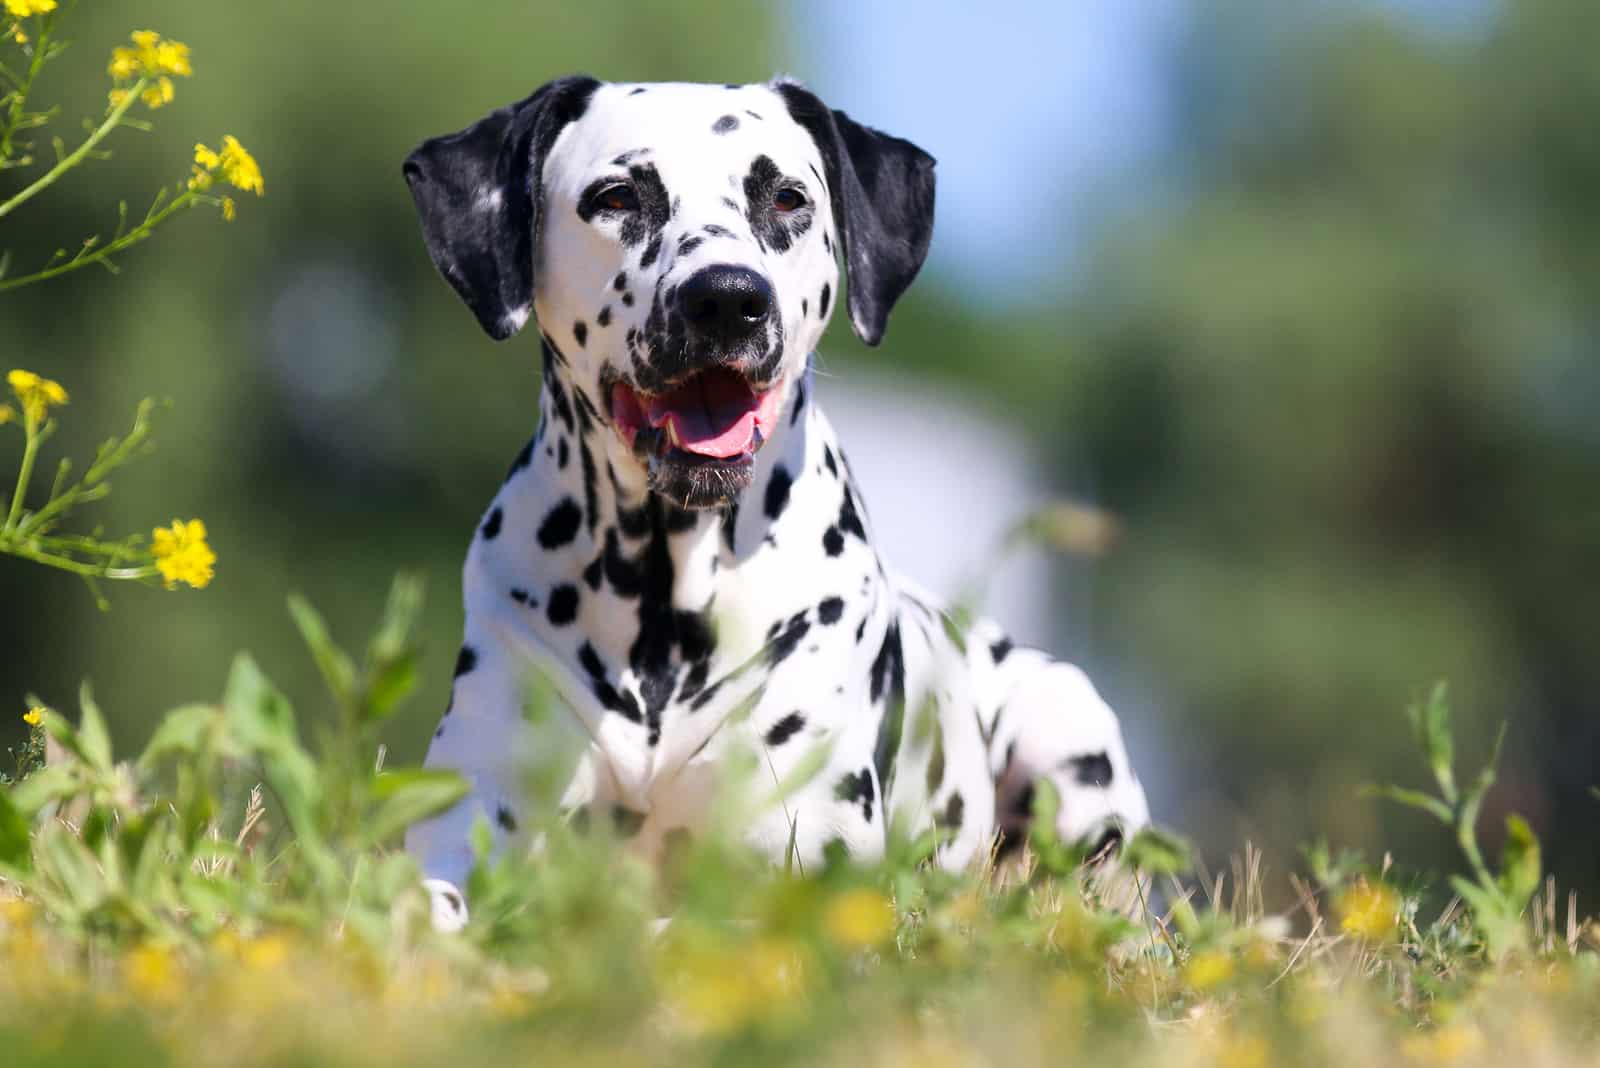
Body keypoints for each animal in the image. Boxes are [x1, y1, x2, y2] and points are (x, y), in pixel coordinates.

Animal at [400, 75, 1152, 927]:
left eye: (787, 197)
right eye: (619, 196)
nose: (727, 298)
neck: (664, 598)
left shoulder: (807, 856)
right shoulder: (473, 812)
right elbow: (427, 895)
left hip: (1063, 733)